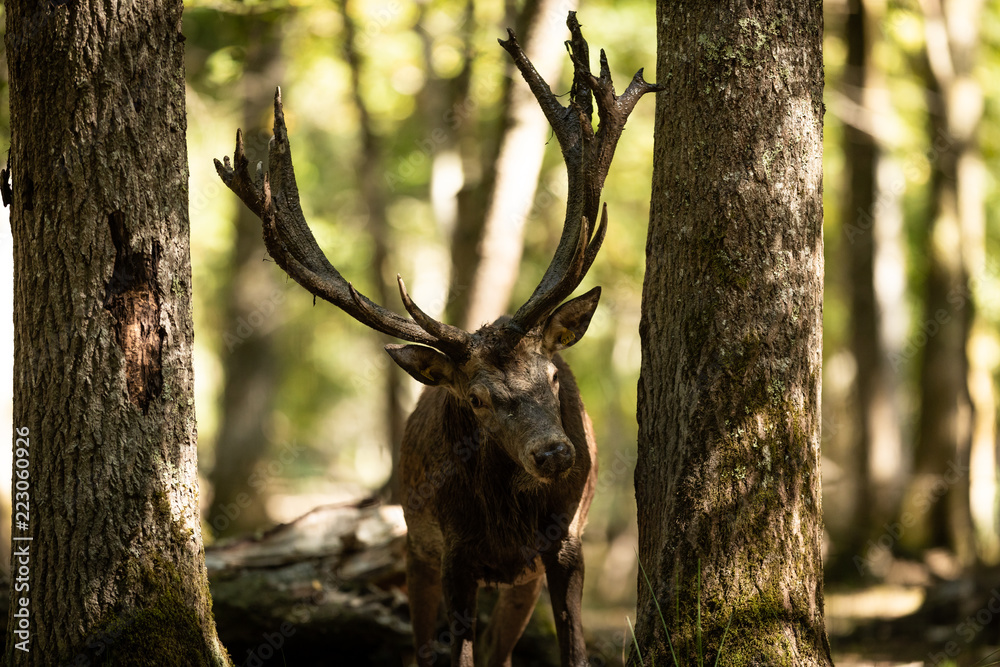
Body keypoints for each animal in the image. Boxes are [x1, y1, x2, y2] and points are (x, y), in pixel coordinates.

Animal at [215, 12, 659, 667]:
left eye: (555, 375)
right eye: (475, 398)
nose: (555, 454)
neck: (508, 522)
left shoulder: (567, 546)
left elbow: (572, 649)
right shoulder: (451, 553)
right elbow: (455, 652)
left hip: (518, 579)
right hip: (413, 550)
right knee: (426, 646)